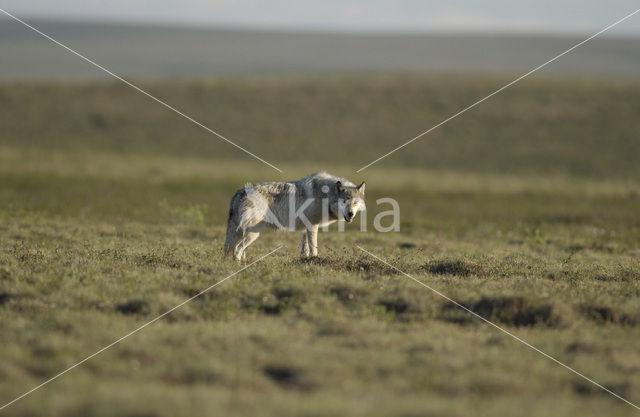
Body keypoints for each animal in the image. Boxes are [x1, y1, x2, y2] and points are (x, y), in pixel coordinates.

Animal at [225, 171, 364, 258]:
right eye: (344, 201)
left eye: (355, 202)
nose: (350, 214)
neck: (325, 196)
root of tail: (239, 192)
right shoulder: (312, 226)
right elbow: (313, 247)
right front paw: (315, 260)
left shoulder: (305, 228)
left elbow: (305, 247)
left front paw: (305, 259)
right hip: (252, 234)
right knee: (237, 250)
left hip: (246, 234)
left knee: (234, 250)